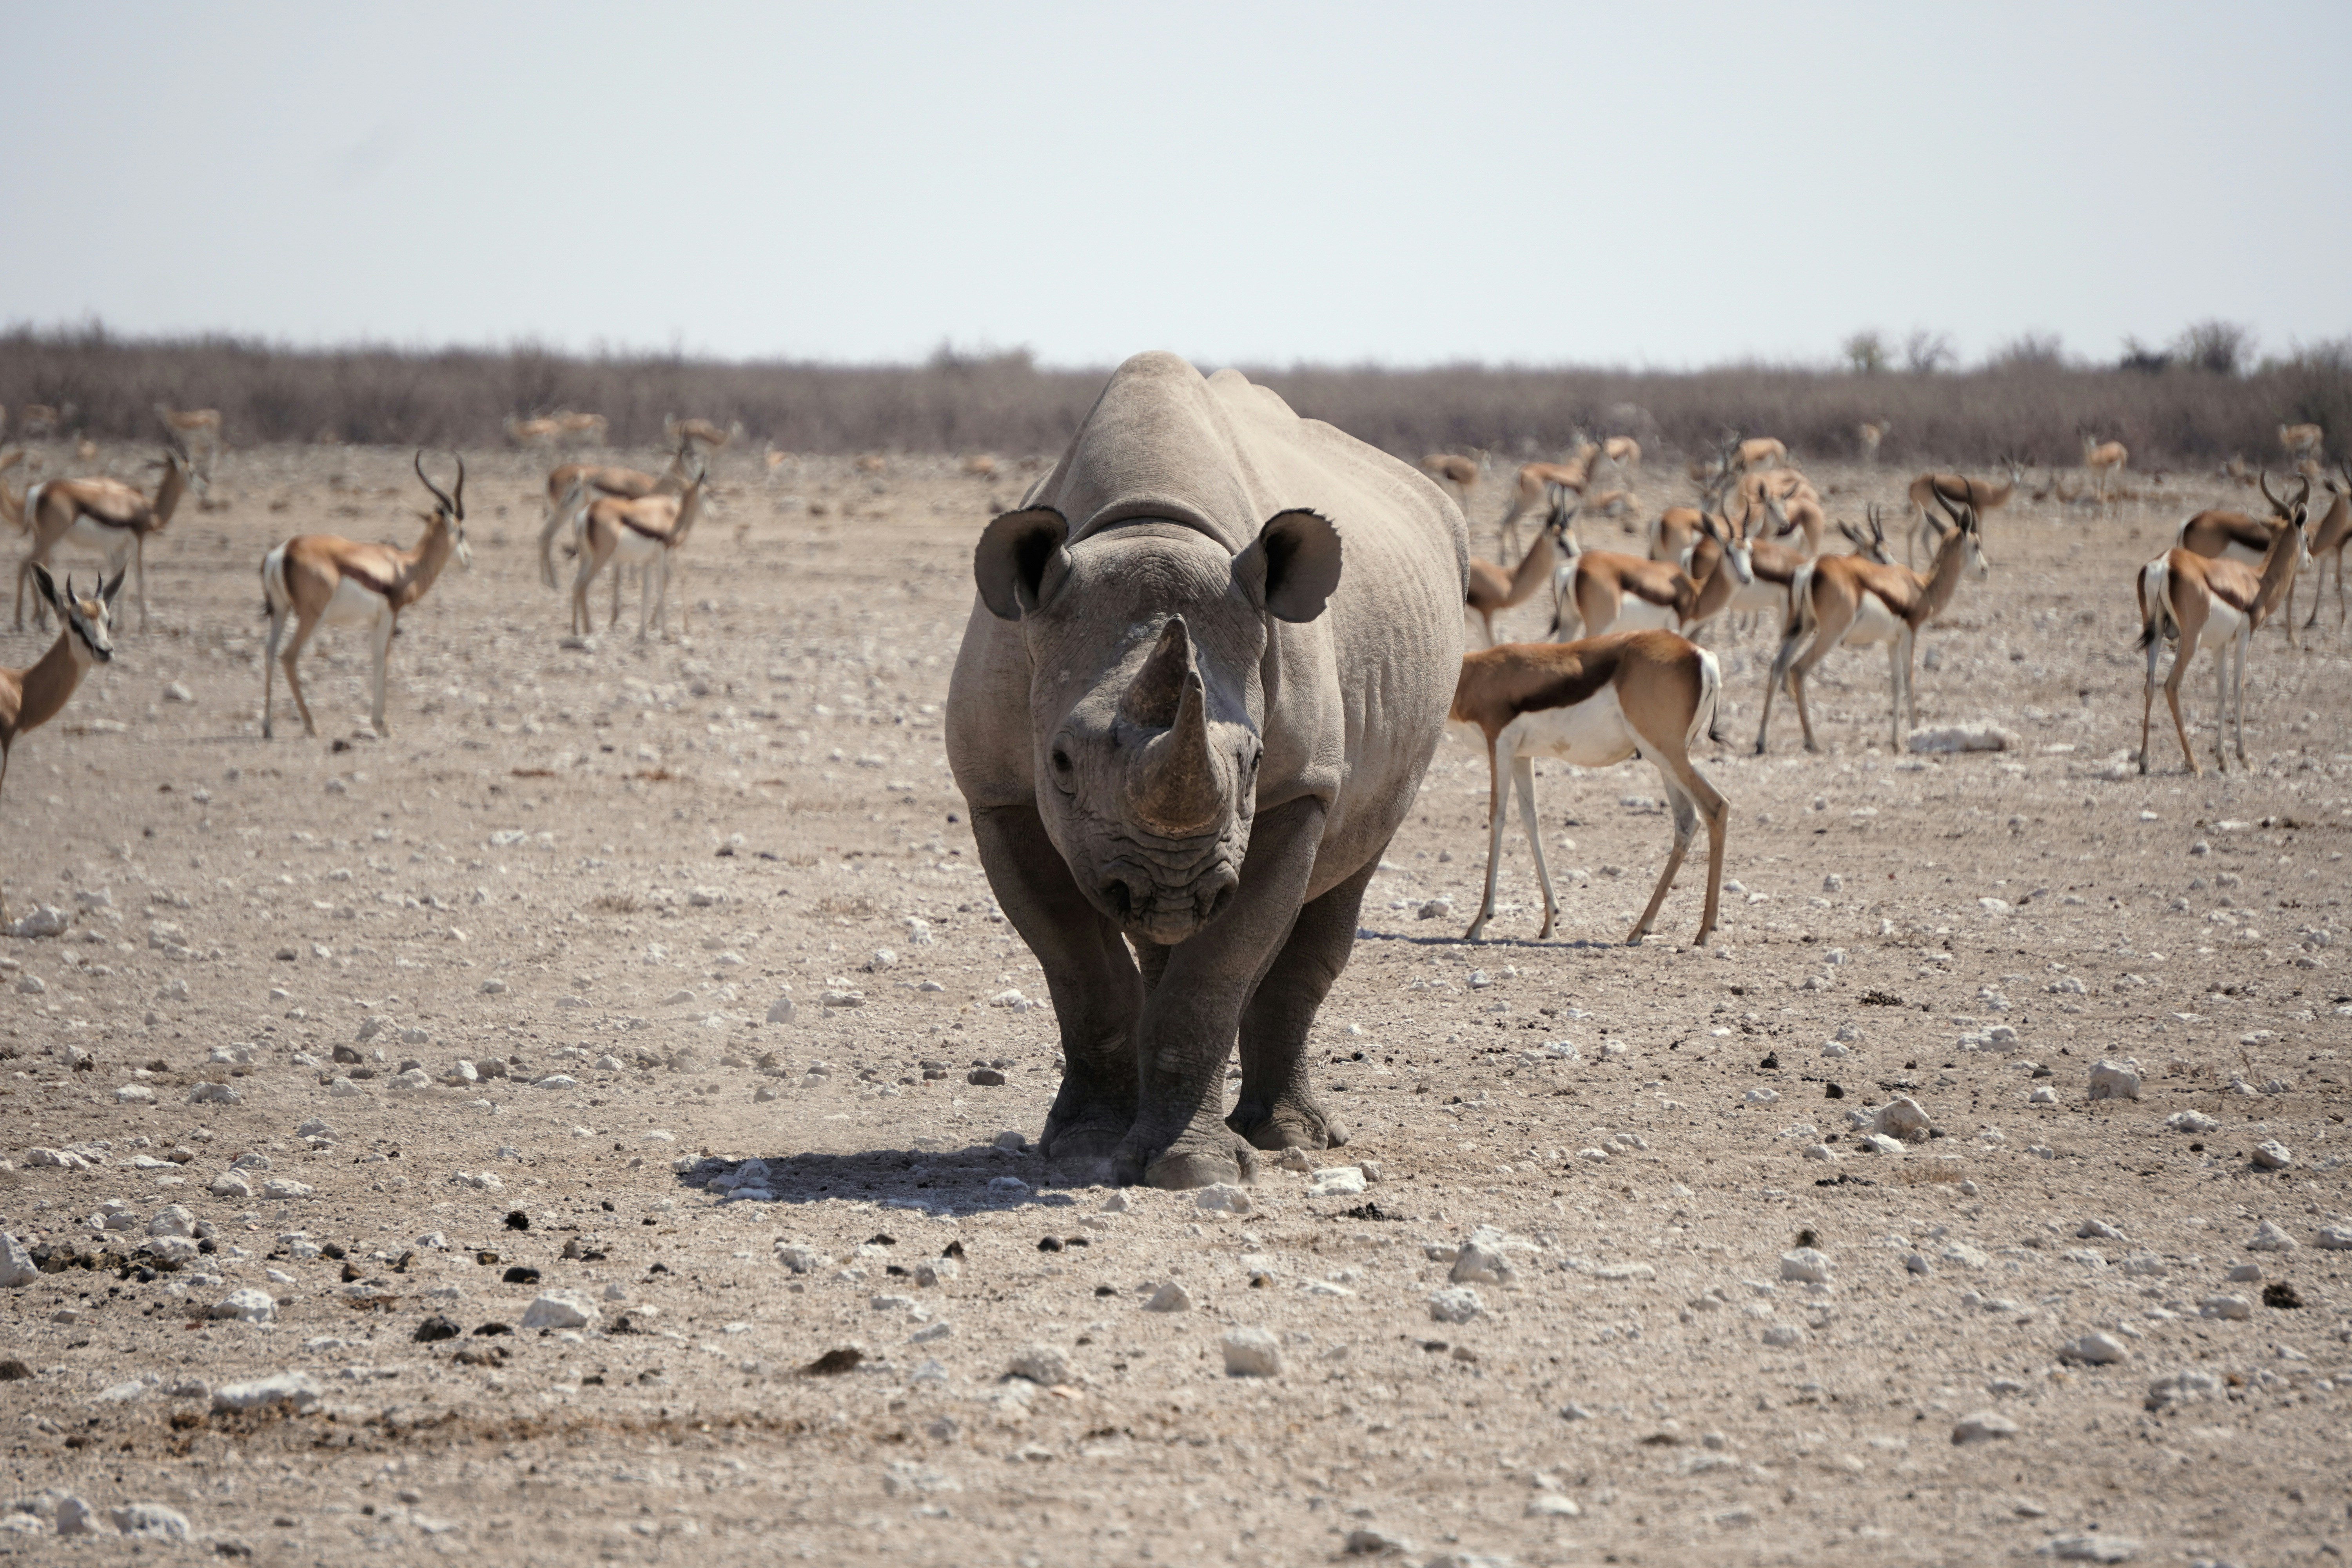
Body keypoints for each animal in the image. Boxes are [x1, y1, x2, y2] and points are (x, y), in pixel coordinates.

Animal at [946, 353, 1467, 1188]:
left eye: (1253, 762)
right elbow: (1079, 969)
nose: (1173, 887)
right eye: (1059, 762)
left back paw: (1287, 1138)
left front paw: (1194, 1171)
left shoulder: (1297, 789)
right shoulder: (997, 792)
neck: (1149, 524)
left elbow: (1218, 973)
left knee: (1344, 881)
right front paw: (1087, 1150)